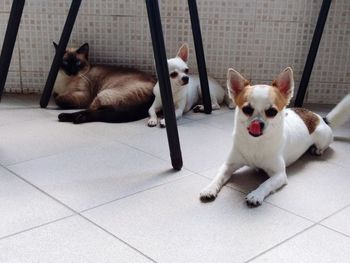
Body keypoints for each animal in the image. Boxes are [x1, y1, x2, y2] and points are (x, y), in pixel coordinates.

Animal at [200, 68, 350, 208]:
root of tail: (319, 117)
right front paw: (210, 188)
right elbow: (219, 176)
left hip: (322, 137)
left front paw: (256, 194)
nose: (257, 123)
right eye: (247, 110)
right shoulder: (228, 165)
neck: (256, 142)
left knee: (323, 145)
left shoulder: (279, 175)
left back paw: (317, 150)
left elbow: (266, 183)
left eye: (272, 112)